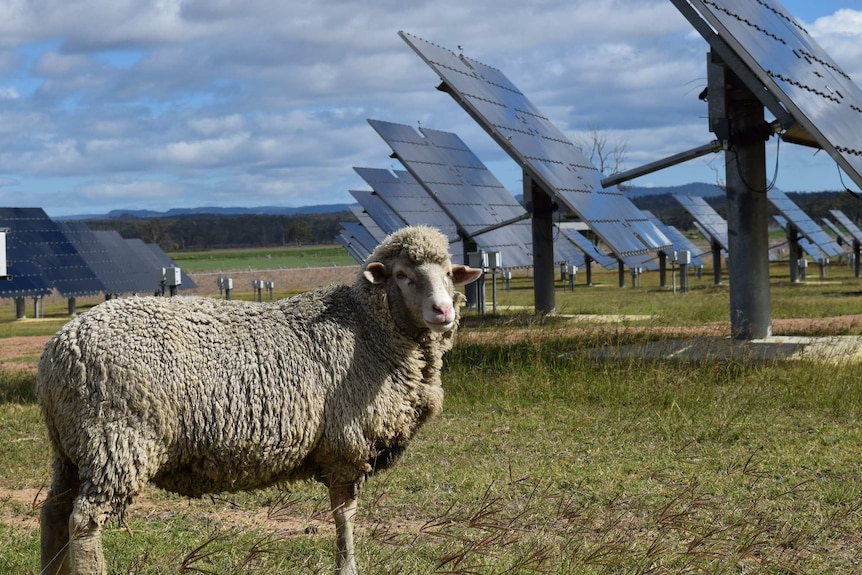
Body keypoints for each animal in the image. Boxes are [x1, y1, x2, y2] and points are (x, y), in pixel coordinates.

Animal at [37, 226, 482, 575]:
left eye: (448, 273)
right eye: (403, 274)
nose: (443, 310)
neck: (368, 328)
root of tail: (58, 350)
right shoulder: (346, 446)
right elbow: (344, 517)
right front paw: (347, 567)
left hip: (72, 447)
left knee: (54, 512)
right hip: (117, 440)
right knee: (85, 521)